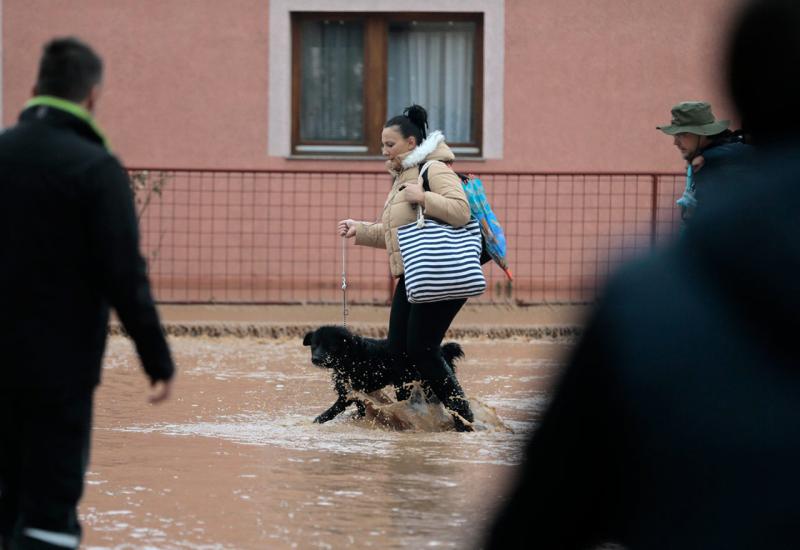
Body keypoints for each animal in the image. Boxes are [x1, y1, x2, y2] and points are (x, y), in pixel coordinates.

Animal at [300, 328, 462, 426]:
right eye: (314, 346)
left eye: (331, 346)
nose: (315, 359)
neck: (353, 356)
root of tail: (443, 350)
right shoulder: (353, 391)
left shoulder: (353, 391)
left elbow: (336, 409)